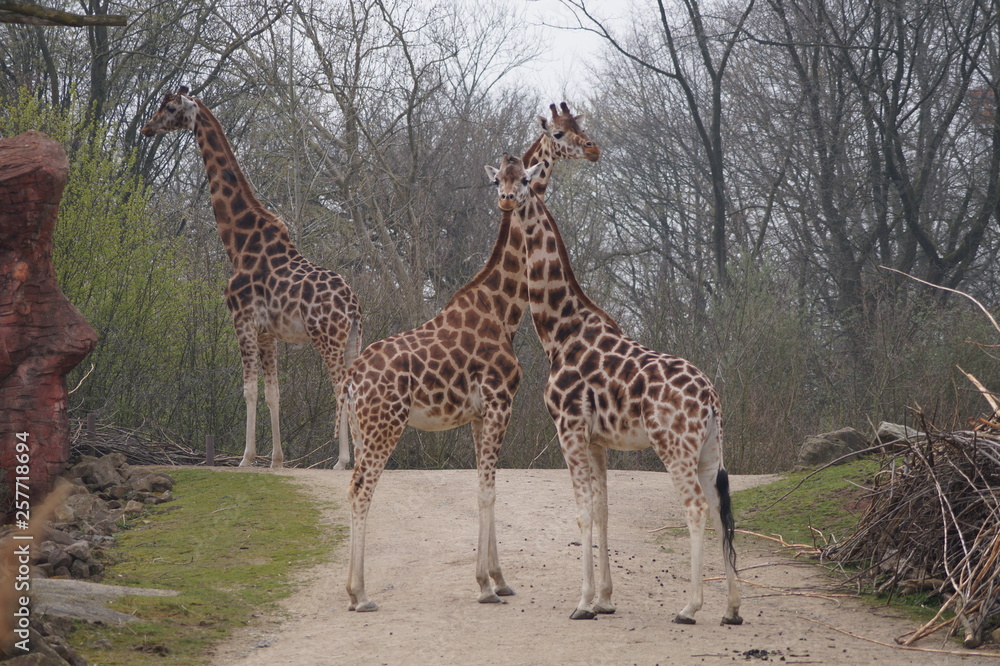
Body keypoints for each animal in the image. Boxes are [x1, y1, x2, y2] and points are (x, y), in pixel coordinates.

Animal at [141, 87, 362, 470]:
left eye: (168, 108)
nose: (146, 128)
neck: (239, 243)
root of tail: (353, 307)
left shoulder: (242, 321)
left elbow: (248, 390)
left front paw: (246, 459)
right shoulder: (267, 333)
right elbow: (273, 392)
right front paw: (276, 460)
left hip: (328, 339)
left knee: (342, 389)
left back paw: (342, 461)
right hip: (352, 341)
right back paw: (365, 456)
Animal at [341, 103, 599, 612]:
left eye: (581, 127)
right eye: (562, 133)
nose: (594, 149)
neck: (504, 308)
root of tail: (352, 380)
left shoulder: (479, 413)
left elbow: (487, 489)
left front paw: (499, 580)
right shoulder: (500, 403)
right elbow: (487, 490)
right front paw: (485, 585)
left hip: (362, 430)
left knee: (355, 487)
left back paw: (355, 589)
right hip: (385, 426)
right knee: (362, 489)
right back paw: (360, 595)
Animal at [488, 154, 742, 625]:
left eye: (527, 179)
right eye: (499, 180)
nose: (508, 200)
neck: (559, 331)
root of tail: (711, 399)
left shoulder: (568, 429)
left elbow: (583, 513)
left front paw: (583, 602)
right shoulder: (596, 439)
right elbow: (604, 511)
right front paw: (605, 599)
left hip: (674, 447)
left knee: (696, 508)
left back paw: (689, 607)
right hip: (710, 449)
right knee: (719, 510)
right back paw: (732, 610)